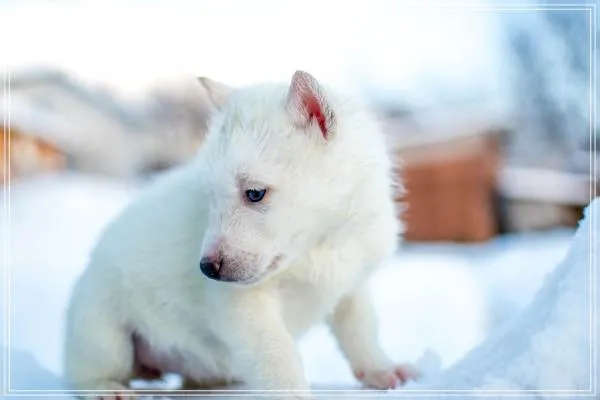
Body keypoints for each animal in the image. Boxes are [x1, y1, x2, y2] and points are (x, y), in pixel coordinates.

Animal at [62, 70, 416, 399]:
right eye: (210, 196)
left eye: (255, 193)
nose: (206, 269)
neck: (320, 244)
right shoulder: (243, 307)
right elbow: (277, 353)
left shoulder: (352, 283)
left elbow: (360, 329)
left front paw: (381, 369)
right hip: (101, 326)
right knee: (88, 371)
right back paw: (105, 387)